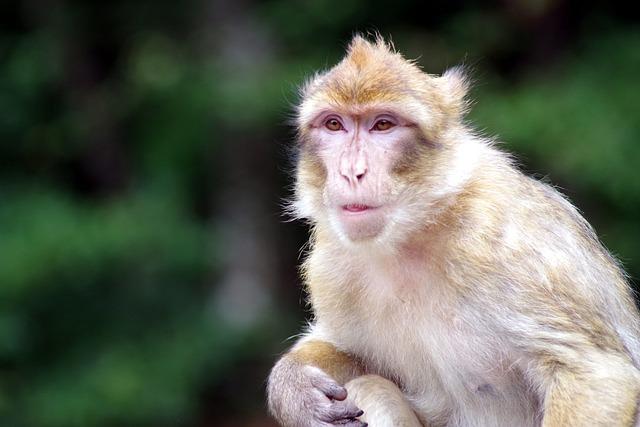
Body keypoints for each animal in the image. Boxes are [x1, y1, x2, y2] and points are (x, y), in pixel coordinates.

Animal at [264, 34, 640, 427]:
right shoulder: (331, 266)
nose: (351, 172)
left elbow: (594, 375)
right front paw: (294, 387)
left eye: (382, 125)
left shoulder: (509, 246)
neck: (416, 231)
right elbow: (348, 351)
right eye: (334, 125)